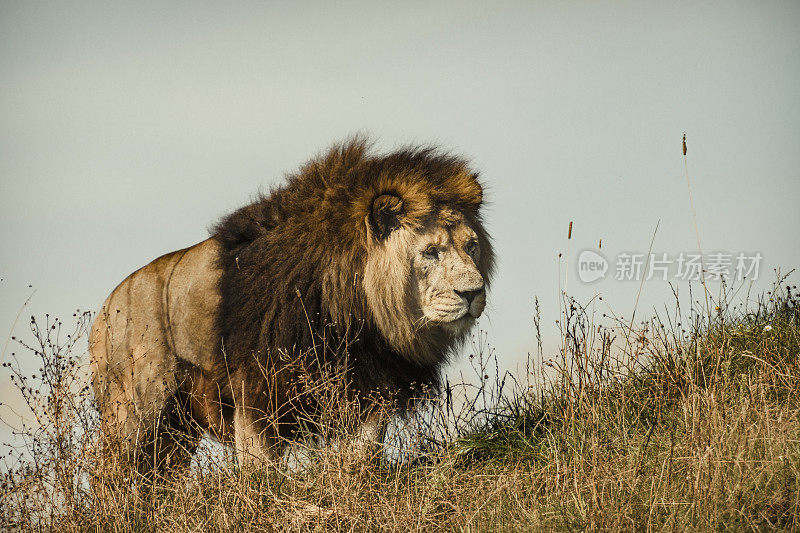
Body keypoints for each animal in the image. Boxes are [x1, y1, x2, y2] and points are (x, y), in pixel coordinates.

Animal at [92, 138, 494, 474]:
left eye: (471, 246)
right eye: (430, 252)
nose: (473, 293)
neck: (356, 311)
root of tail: (104, 310)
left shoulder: (371, 383)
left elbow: (364, 452)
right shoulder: (255, 385)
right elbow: (258, 463)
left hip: (176, 430)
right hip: (133, 411)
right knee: (109, 475)